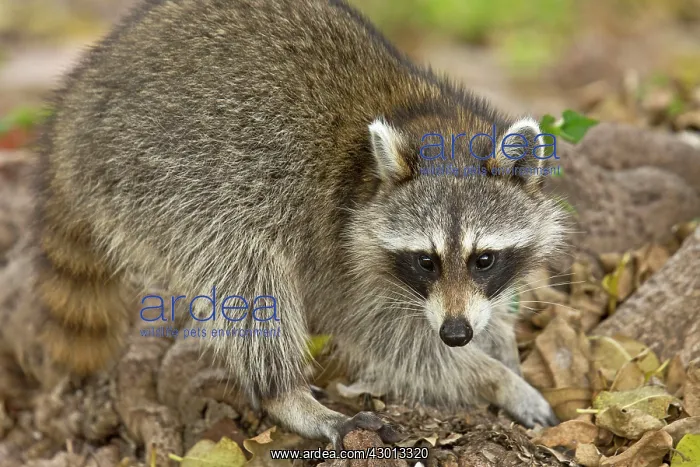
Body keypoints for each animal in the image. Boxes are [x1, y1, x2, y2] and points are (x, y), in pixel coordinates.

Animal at [34, 0, 567, 447]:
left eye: (484, 259)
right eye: (425, 262)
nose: (457, 334)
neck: (428, 120)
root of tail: (68, 126)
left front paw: (499, 345)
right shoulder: (337, 246)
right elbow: (393, 341)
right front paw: (496, 379)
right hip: (162, 177)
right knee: (248, 274)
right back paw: (287, 396)